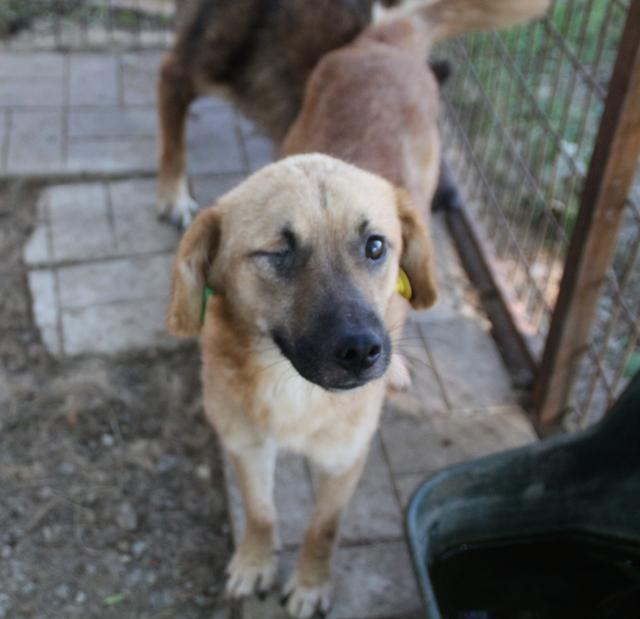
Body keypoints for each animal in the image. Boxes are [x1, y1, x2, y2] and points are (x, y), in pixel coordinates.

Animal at [169, 2, 552, 616]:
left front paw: (309, 584)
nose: (363, 352)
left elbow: (323, 530)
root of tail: (387, 39)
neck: (292, 389)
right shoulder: (245, 445)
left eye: (375, 246)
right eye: (279, 253)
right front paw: (255, 562)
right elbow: (261, 512)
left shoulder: (343, 460)